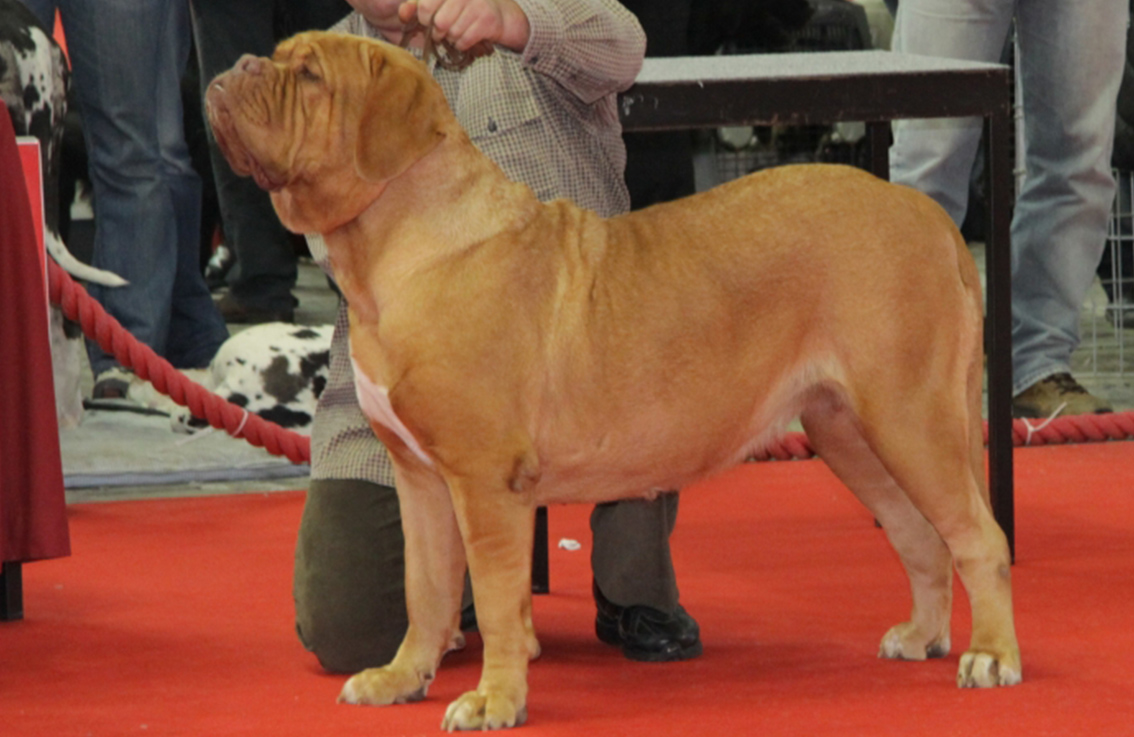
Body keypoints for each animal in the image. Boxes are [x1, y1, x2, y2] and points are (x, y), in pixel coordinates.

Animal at [204, 30, 1020, 730]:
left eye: (311, 75)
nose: (236, 65)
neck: (397, 245)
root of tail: (930, 217)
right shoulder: (421, 479)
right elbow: (427, 588)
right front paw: (402, 678)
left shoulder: (483, 483)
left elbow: (494, 598)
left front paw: (494, 698)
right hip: (847, 428)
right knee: (920, 533)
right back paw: (922, 634)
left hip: (911, 415)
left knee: (978, 534)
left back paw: (991, 655)